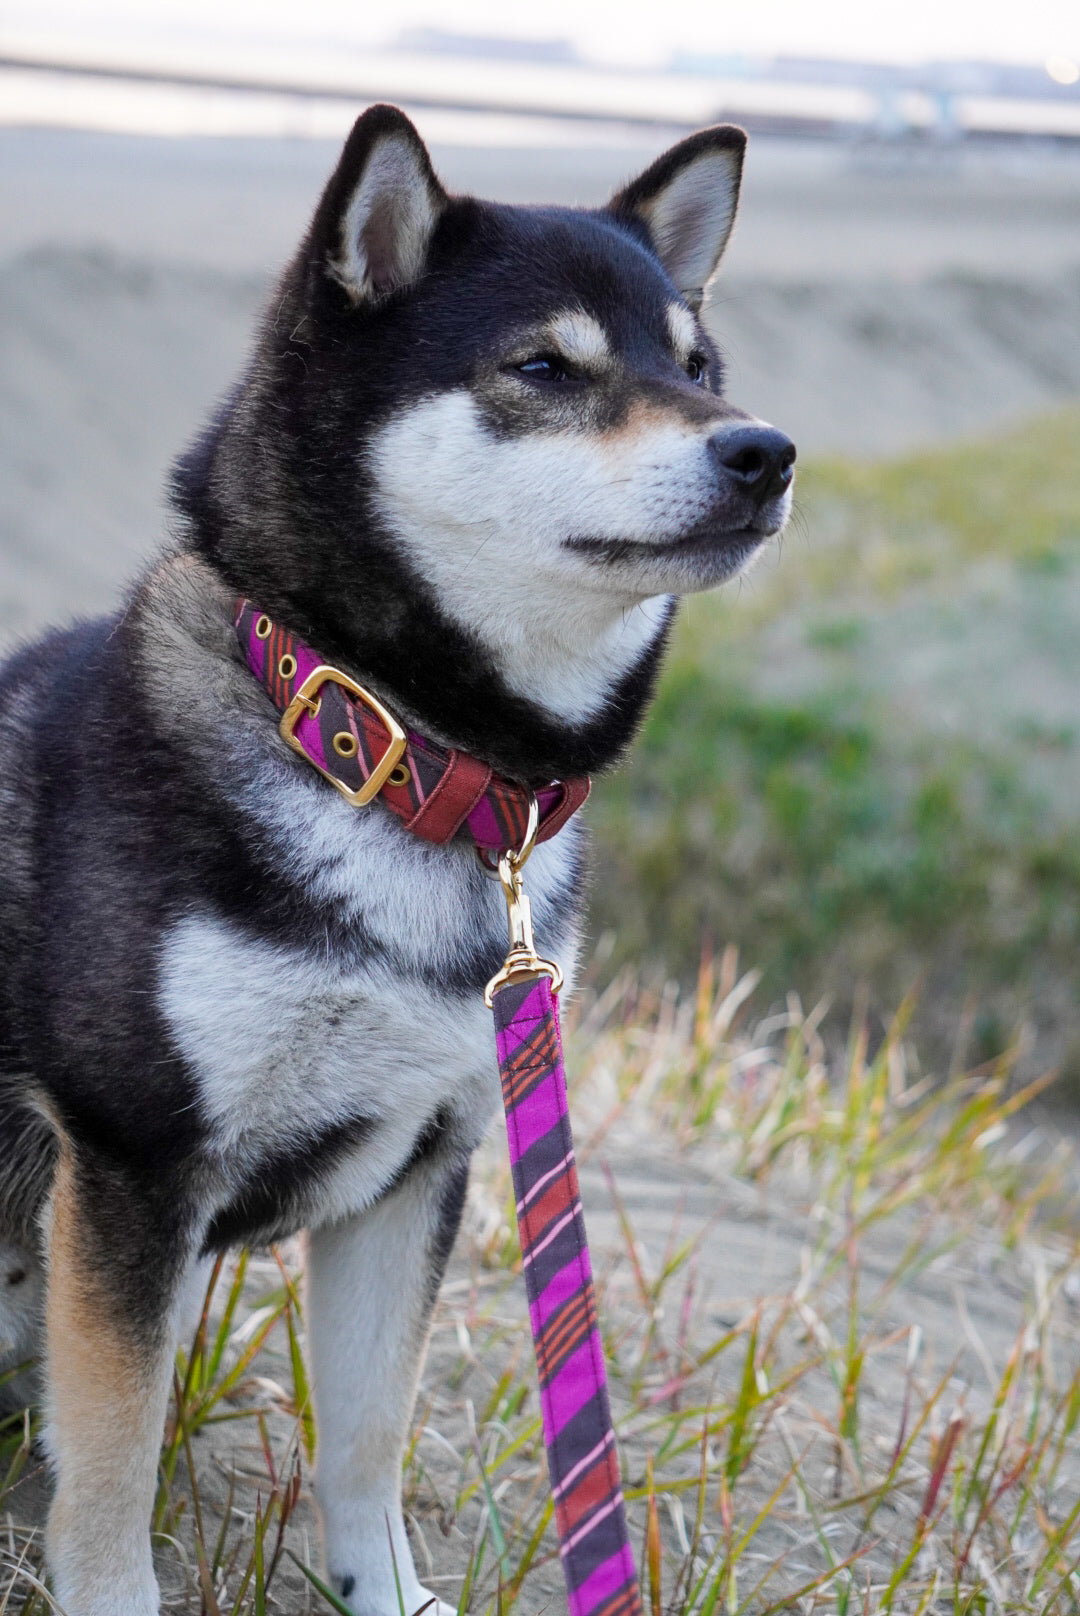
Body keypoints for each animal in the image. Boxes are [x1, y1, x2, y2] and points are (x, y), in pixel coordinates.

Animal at [0, 107, 792, 1609]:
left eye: (698, 366)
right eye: (544, 369)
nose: (766, 451)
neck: (402, 763)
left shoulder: (422, 1160)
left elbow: (371, 1429)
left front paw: (387, 1592)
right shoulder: (133, 1161)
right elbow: (113, 1463)